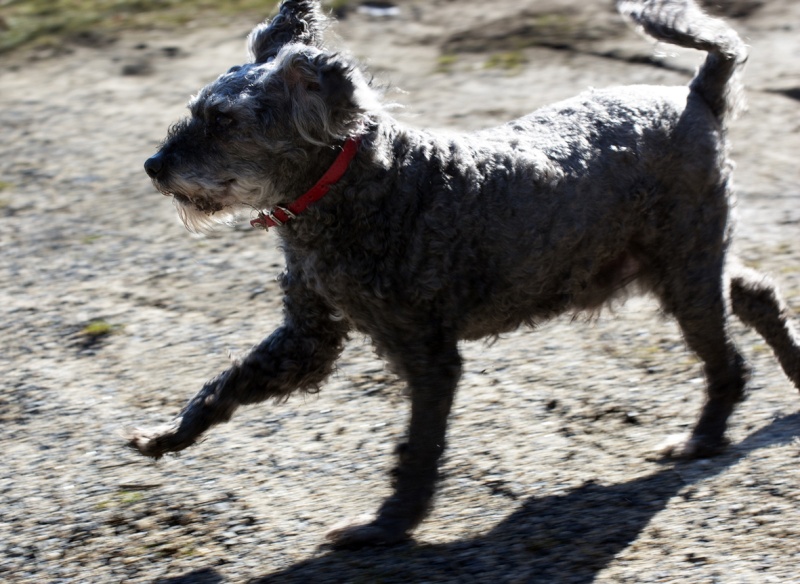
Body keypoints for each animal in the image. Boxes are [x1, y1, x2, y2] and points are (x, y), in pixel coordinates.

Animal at [131, 0, 800, 548]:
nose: (154, 165)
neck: (360, 187)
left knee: (727, 360)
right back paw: (792, 374)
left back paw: (701, 440)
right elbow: (227, 384)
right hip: (680, 259)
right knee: (755, 293)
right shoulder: (308, 338)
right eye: (197, 112)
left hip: (685, 266)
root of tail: (696, 94)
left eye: (223, 121)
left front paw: (387, 526)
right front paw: (168, 437)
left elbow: (418, 448)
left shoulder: (428, 354)